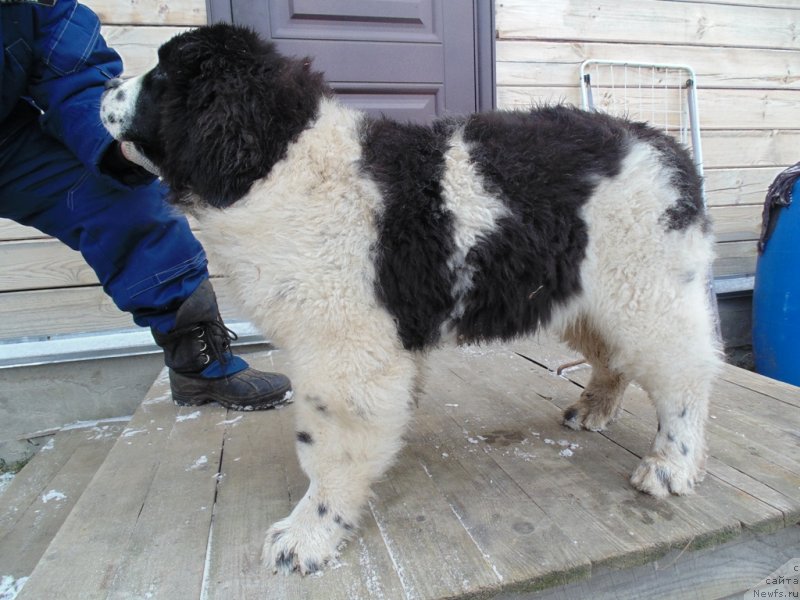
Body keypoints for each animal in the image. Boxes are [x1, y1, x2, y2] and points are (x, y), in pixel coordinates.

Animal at [100, 24, 720, 576]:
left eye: (161, 77)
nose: (104, 87)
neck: (279, 159)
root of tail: (667, 145)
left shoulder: (343, 346)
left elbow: (328, 448)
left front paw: (309, 535)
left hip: (645, 290)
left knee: (686, 375)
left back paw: (671, 464)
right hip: (581, 292)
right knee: (615, 357)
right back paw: (594, 408)